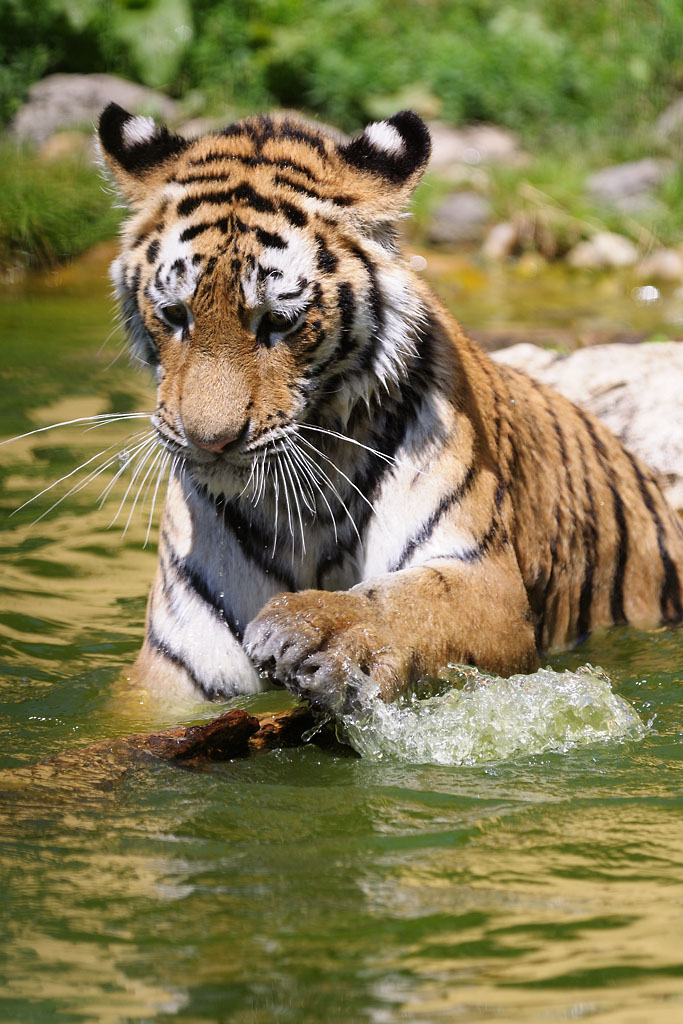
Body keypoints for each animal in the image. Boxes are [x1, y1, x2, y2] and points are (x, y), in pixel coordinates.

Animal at [97, 101, 683, 713]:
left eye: (279, 322)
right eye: (175, 314)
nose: (210, 441)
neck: (304, 505)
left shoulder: (489, 583)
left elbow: (412, 600)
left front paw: (318, 628)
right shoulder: (172, 671)